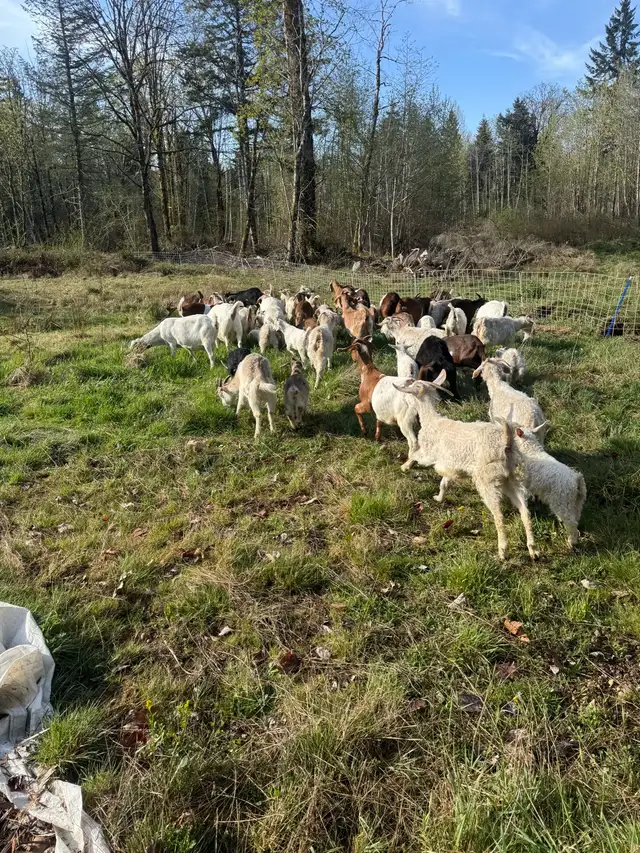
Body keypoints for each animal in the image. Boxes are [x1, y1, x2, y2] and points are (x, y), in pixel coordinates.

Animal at [398, 370, 538, 561]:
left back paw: (502, 550)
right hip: (512, 478)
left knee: (499, 515)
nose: (404, 399)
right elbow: (444, 482)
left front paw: (405, 466)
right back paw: (533, 549)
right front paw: (439, 498)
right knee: (524, 511)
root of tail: (506, 444)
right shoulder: (451, 465)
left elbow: (416, 455)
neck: (432, 421)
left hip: (487, 479)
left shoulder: (429, 453)